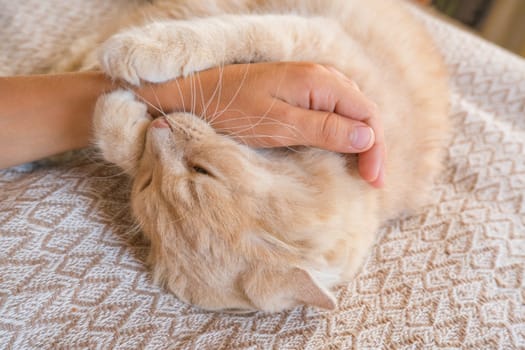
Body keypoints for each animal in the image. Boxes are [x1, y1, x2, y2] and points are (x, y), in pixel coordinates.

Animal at [87, 0, 450, 312]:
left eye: (200, 170)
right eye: (147, 186)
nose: (160, 124)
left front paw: (120, 94)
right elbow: (234, 34)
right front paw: (135, 58)